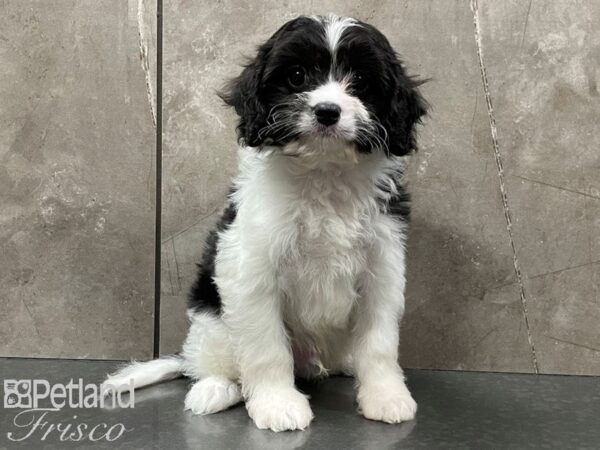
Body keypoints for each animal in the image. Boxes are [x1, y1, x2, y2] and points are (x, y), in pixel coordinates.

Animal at [106, 14, 426, 432]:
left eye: (360, 80)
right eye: (296, 76)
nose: (327, 111)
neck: (323, 171)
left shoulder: (382, 265)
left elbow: (379, 343)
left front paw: (386, 396)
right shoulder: (252, 270)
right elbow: (266, 347)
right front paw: (278, 404)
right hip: (213, 324)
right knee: (211, 363)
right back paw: (214, 389)